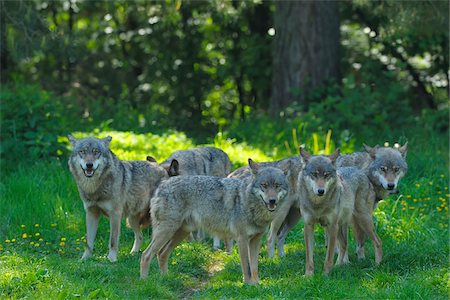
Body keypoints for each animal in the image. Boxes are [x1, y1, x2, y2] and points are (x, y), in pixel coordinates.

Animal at [139, 158, 290, 284]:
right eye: (264, 185)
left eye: (277, 185)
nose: (272, 201)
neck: (248, 202)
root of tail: (163, 184)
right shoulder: (242, 239)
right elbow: (246, 267)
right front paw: (248, 285)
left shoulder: (255, 241)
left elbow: (254, 267)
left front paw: (257, 285)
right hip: (167, 232)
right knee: (145, 255)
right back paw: (145, 282)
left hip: (180, 233)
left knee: (161, 254)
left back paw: (165, 278)